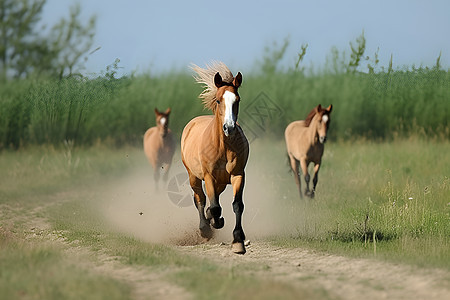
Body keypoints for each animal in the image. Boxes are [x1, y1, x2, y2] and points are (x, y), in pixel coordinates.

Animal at [180, 62, 250, 254]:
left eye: (237, 100)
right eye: (219, 100)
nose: (229, 128)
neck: (223, 147)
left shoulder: (238, 175)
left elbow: (237, 205)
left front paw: (238, 240)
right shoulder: (208, 176)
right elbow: (214, 206)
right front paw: (214, 223)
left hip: (221, 181)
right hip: (193, 176)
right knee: (200, 199)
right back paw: (205, 228)